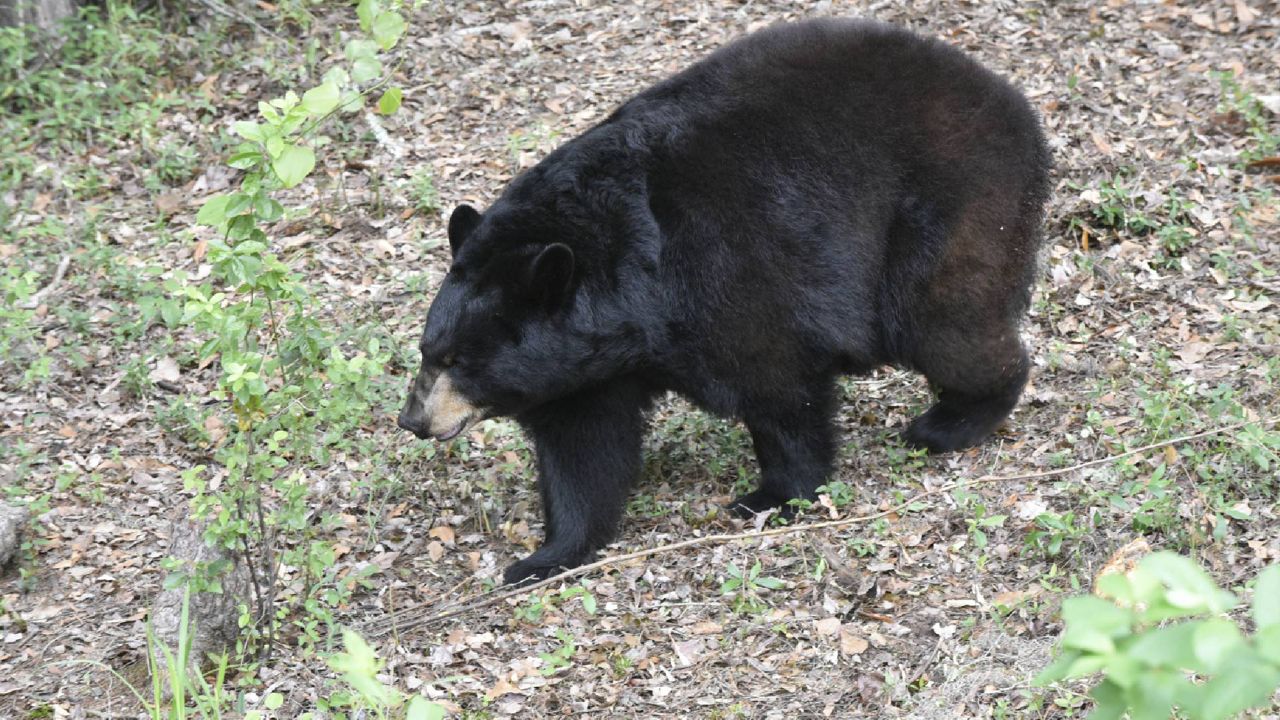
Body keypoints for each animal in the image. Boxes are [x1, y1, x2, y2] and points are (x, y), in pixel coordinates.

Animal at [396, 18, 1049, 584]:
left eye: (457, 361)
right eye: (428, 350)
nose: (413, 420)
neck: (631, 285)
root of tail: (1010, 98)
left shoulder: (728, 274)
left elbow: (779, 388)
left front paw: (771, 496)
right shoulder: (587, 365)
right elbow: (583, 449)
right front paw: (544, 556)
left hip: (952, 206)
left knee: (943, 324)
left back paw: (951, 423)